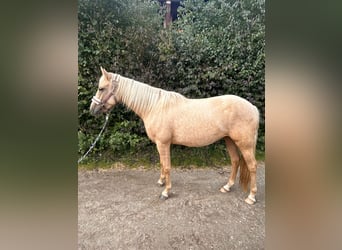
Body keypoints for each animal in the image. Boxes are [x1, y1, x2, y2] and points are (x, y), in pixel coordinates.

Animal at [90, 67, 260, 204]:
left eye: (101, 88)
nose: (92, 109)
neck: (154, 107)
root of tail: (252, 107)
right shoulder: (160, 144)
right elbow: (161, 163)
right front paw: (161, 182)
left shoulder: (163, 143)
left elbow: (166, 166)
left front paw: (166, 192)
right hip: (229, 140)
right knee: (235, 161)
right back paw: (227, 186)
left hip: (244, 143)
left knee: (252, 166)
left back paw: (251, 197)